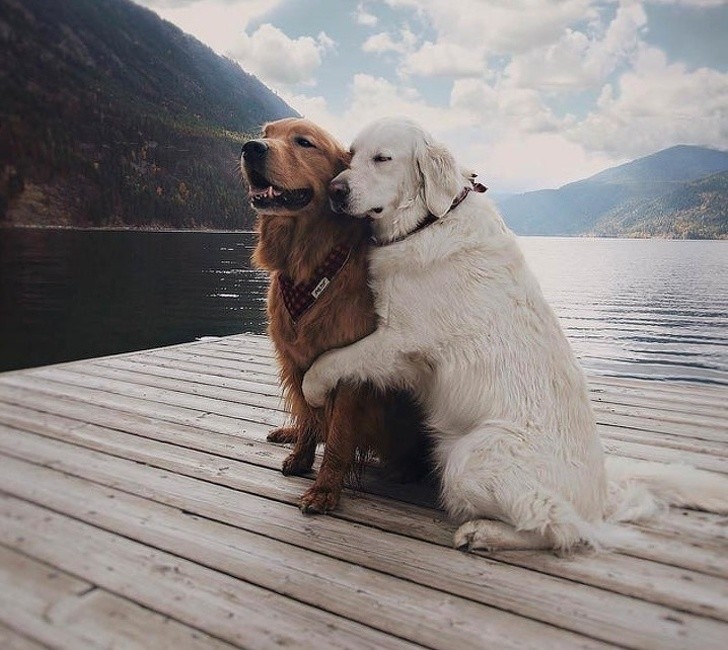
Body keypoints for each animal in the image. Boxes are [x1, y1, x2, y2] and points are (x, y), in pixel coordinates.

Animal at [242, 116, 424, 512]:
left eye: (304, 142)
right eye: (266, 134)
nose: (250, 148)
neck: (307, 266)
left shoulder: (348, 370)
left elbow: (339, 436)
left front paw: (325, 489)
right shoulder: (295, 361)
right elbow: (309, 414)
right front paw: (301, 456)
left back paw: (405, 467)